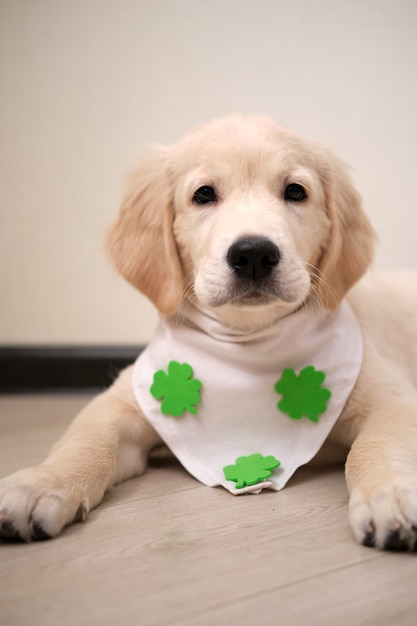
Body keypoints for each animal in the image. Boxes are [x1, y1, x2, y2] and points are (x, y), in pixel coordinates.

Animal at [0, 114, 416, 548]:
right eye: (203, 194)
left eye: (295, 191)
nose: (254, 253)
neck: (247, 343)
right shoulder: (123, 401)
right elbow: (83, 441)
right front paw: (41, 483)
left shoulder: (394, 399)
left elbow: (374, 444)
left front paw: (388, 493)